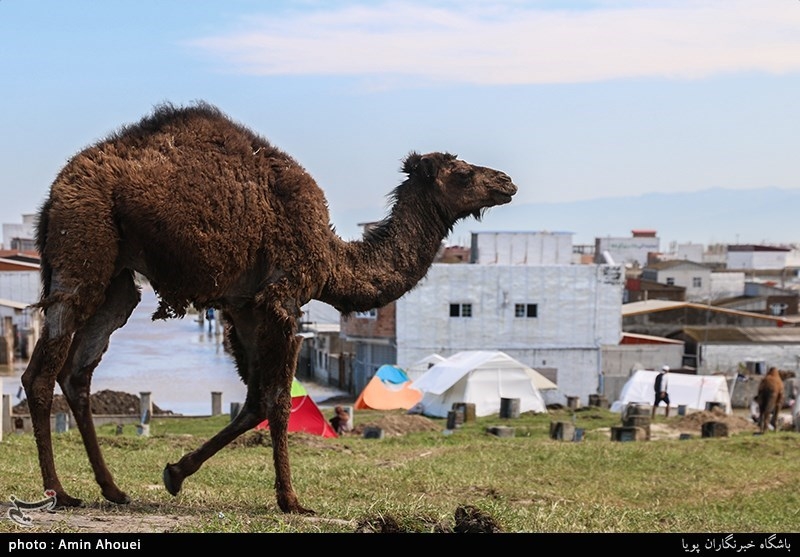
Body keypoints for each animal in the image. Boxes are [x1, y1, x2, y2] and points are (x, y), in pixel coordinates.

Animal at [21, 101, 520, 512]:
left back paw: (112, 489)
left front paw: (175, 473)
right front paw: (291, 500)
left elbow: (255, 400)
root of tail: (52, 196)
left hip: (118, 283)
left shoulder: (244, 306)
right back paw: (59, 492)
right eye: (461, 172)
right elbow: (278, 399)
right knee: (41, 373)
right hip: (83, 244)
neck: (333, 259)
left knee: (78, 371)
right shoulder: (282, 299)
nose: (507, 181)